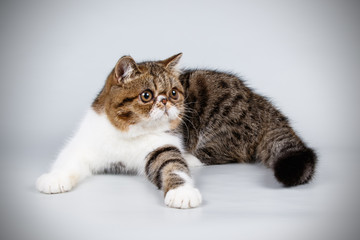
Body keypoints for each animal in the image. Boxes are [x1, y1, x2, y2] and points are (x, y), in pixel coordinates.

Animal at [36, 52, 316, 208]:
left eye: (173, 92)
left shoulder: (161, 147)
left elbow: (172, 166)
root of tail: (257, 99)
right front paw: (55, 178)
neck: (128, 132)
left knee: (230, 151)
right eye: (147, 95)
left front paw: (181, 192)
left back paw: (192, 157)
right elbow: (67, 160)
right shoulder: (85, 143)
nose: (166, 102)